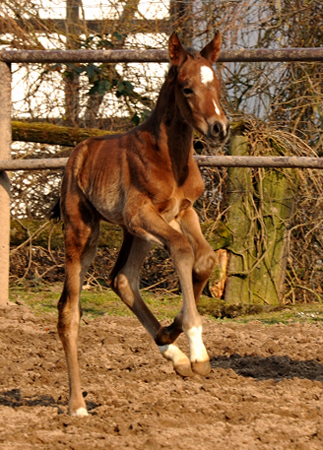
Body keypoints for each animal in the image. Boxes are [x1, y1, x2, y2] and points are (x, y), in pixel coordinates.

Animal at [58, 31, 230, 416]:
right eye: (186, 88)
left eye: (218, 85)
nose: (219, 128)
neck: (170, 158)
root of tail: (78, 153)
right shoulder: (142, 214)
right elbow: (182, 250)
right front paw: (198, 352)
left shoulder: (183, 212)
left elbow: (205, 259)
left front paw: (170, 334)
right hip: (84, 232)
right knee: (69, 312)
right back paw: (77, 405)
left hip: (138, 235)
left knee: (122, 278)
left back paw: (171, 351)